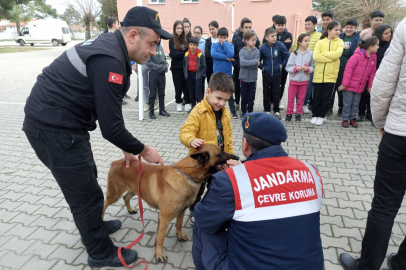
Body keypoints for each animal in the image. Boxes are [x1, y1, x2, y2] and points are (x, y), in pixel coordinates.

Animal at [103, 144, 239, 262]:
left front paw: (179, 235)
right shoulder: (164, 218)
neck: (186, 173)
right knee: (104, 205)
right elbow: (161, 237)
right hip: (113, 195)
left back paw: (130, 209)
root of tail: (116, 162)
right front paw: (159, 253)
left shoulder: (182, 211)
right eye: (220, 153)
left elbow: (178, 224)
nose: (237, 158)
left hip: (134, 190)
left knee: (126, 197)